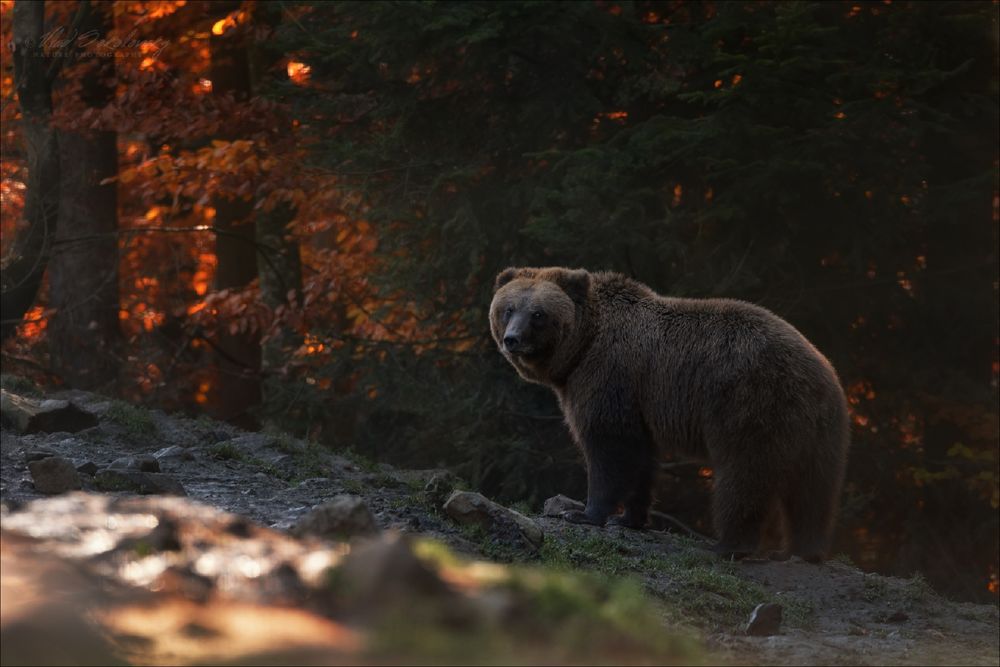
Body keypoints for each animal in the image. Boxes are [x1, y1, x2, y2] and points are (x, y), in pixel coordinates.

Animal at [488, 266, 848, 564]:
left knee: (743, 476)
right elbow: (641, 458)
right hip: (820, 428)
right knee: (813, 488)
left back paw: (727, 545)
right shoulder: (639, 405)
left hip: (748, 405)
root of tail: (818, 370)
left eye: (538, 313)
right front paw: (629, 518)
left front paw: (584, 513)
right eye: (508, 309)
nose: (512, 339)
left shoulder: (609, 377)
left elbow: (608, 447)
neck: (582, 347)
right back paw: (803, 549)